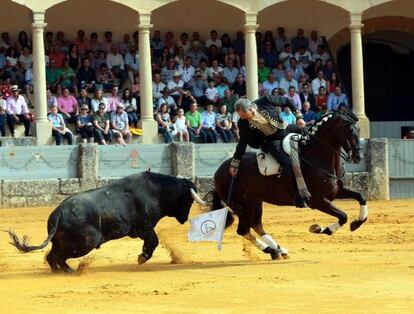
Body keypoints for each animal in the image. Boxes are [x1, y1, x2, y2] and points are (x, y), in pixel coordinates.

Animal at [8, 172, 205, 272]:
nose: (185, 218)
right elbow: (154, 241)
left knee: (51, 256)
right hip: (85, 243)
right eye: (188, 200)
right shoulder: (144, 228)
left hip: (61, 242)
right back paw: (71, 271)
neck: (158, 190)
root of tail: (59, 212)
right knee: (58, 256)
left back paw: (60, 271)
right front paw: (142, 258)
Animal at [212, 111, 368, 258]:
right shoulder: (316, 201)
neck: (316, 156)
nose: (358, 156)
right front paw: (319, 228)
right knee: (243, 229)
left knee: (256, 226)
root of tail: (219, 171)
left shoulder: (337, 192)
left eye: (359, 129)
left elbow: (361, 197)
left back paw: (279, 250)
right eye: (348, 130)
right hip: (243, 205)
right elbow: (343, 216)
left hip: (255, 202)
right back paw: (272, 250)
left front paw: (357, 222)